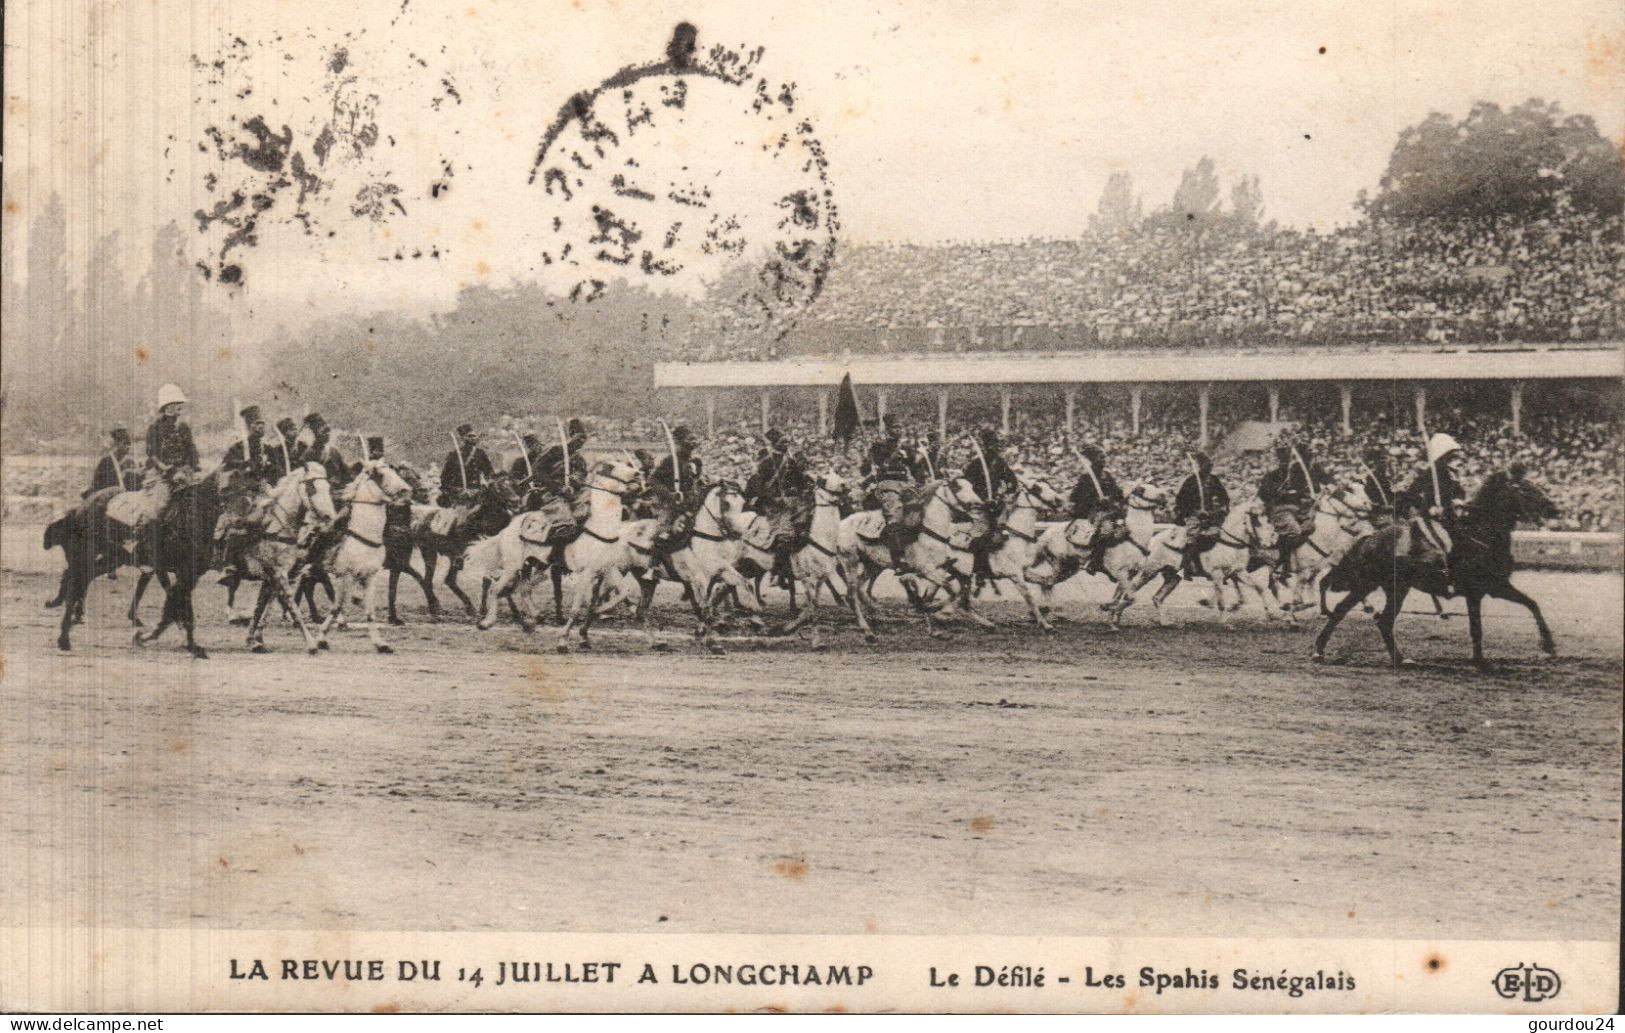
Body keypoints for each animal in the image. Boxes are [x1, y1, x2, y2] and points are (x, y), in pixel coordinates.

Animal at [240, 461, 336, 652]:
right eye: (312, 487)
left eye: (329, 487)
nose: (330, 517)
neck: (275, 528)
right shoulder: (279, 573)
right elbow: (290, 604)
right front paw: (311, 642)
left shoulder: (274, 575)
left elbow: (262, 605)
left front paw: (254, 640)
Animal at [310, 461, 412, 649]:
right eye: (380, 474)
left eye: (393, 471)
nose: (406, 492)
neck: (362, 534)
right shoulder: (345, 575)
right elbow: (338, 605)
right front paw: (321, 638)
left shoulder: (370, 576)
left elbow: (369, 610)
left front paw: (380, 643)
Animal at [1306, 464, 1560, 665]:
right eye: (1525, 488)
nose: (1553, 509)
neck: (1480, 534)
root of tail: (1367, 538)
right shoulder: (1477, 592)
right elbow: (1477, 627)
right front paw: (1480, 660)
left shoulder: (1496, 587)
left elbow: (1532, 604)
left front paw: (1548, 646)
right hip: (1373, 585)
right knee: (1356, 613)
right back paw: (1324, 650)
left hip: (1389, 587)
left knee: (1372, 618)